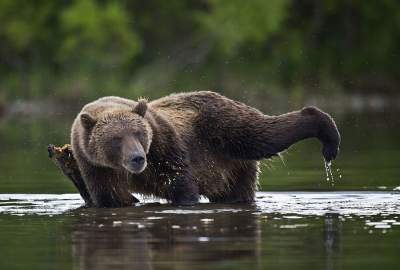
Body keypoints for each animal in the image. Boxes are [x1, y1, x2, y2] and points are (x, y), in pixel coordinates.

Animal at [70, 90, 340, 207]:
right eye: (116, 139)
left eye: (139, 133)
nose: (137, 158)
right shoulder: (94, 166)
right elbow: (112, 196)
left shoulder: (163, 144)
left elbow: (179, 179)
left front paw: (187, 199)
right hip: (230, 168)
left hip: (225, 128)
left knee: (265, 135)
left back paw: (326, 135)